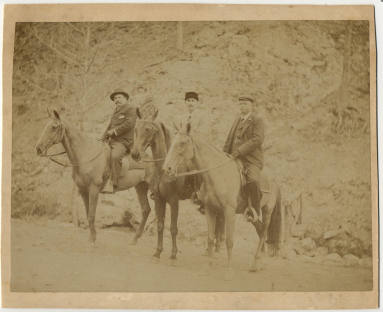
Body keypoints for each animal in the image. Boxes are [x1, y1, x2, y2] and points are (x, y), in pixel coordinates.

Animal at [35, 109, 153, 244]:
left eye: (53, 127)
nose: (38, 148)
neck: (86, 154)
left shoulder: (94, 189)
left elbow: (91, 215)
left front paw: (92, 239)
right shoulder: (83, 190)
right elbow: (88, 214)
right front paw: (92, 237)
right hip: (141, 187)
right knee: (146, 210)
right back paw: (135, 239)